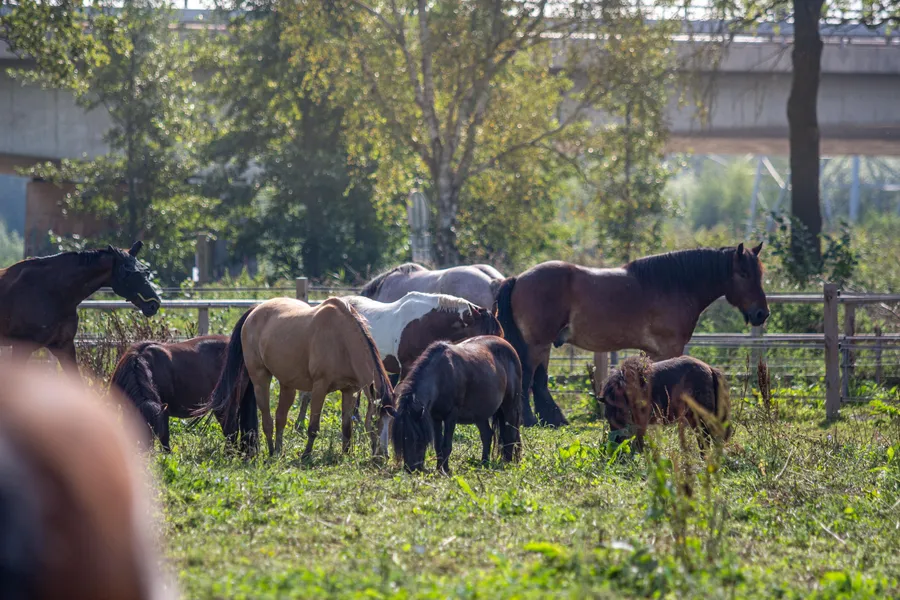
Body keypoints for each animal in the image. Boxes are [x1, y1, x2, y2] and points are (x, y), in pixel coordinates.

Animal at [0, 241, 161, 371]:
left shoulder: (64, 346)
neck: (53, 291)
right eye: (127, 272)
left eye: (146, 271)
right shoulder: (21, 347)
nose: (154, 304)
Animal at [202, 297, 395, 459]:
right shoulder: (320, 387)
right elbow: (313, 427)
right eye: (376, 420)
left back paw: (278, 451)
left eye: (391, 420)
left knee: (280, 417)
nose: (383, 456)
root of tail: (255, 310)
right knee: (267, 420)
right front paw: (306, 455)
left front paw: (346, 454)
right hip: (260, 378)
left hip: (288, 384)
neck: (342, 340)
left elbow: (347, 428)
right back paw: (271, 451)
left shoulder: (349, 391)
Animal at [391, 336, 523, 474]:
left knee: (510, 434)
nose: (411, 469)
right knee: (487, 435)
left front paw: (445, 470)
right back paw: (484, 462)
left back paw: (507, 462)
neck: (440, 376)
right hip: (479, 414)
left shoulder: (451, 415)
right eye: (401, 439)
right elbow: (438, 445)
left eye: (417, 438)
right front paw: (439, 469)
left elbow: (446, 444)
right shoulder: (435, 417)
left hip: (510, 407)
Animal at [497, 243, 769, 428]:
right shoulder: (669, 348)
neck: (674, 286)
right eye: (744, 274)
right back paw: (529, 420)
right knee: (528, 378)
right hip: (537, 344)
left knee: (539, 381)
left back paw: (553, 419)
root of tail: (518, 278)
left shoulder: (653, 351)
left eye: (760, 274)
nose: (761, 314)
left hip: (543, 345)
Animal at [600, 355, 733, 452]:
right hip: (693, 417)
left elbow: (639, 440)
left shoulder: (641, 421)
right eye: (607, 415)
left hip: (703, 417)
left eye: (620, 413)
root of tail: (710, 369)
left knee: (708, 437)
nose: (616, 441)